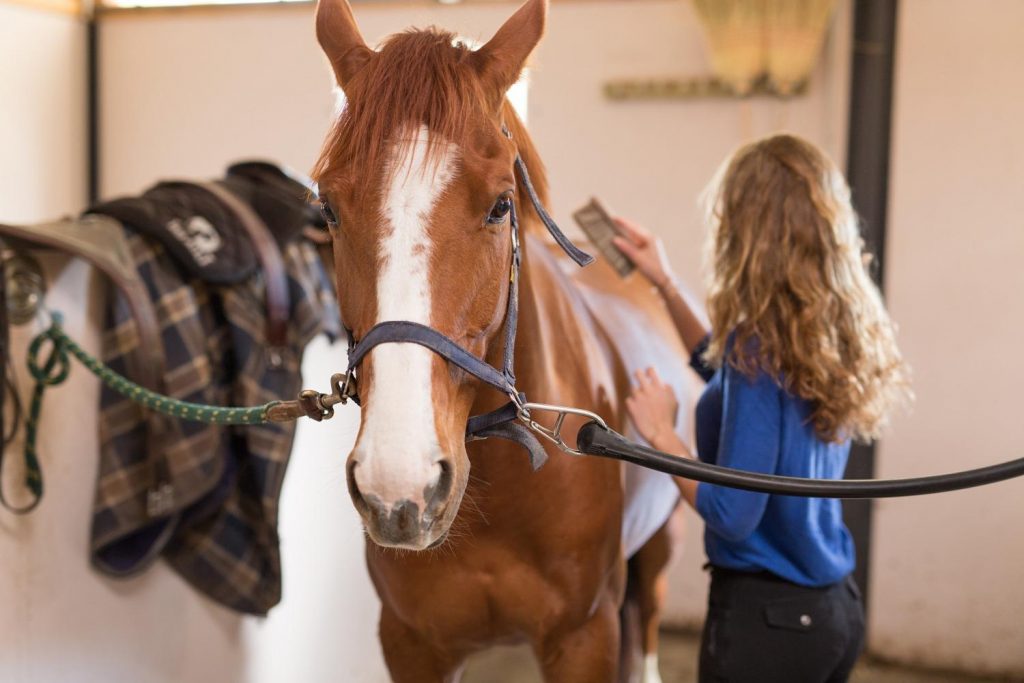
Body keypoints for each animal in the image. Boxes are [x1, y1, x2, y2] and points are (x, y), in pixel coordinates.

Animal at [312, 0, 697, 679]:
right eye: (328, 208)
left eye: (499, 205)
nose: (400, 482)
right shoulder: (411, 644)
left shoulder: (583, 638)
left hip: (659, 548)